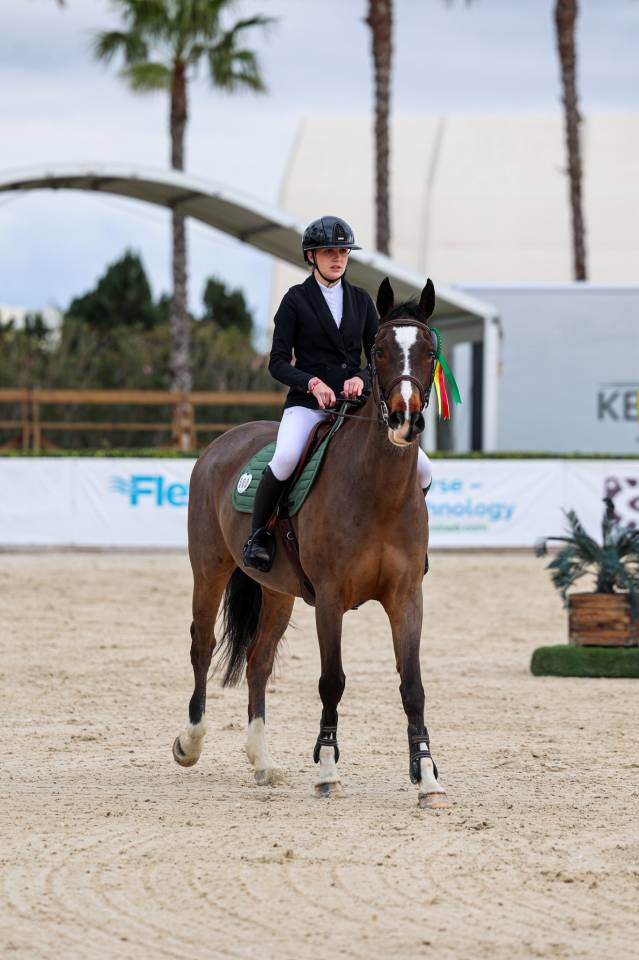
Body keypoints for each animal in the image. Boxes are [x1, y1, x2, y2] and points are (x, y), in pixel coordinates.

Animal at [172, 277, 450, 809]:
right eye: (379, 350)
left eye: (429, 351)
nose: (405, 420)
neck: (377, 490)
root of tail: (222, 443)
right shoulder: (330, 598)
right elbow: (332, 681)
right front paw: (327, 770)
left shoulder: (408, 597)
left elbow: (413, 686)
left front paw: (427, 777)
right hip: (209, 568)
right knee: (202, 644)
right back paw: (190, 744)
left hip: (277, 592)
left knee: (258, 661)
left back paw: (262, 762)